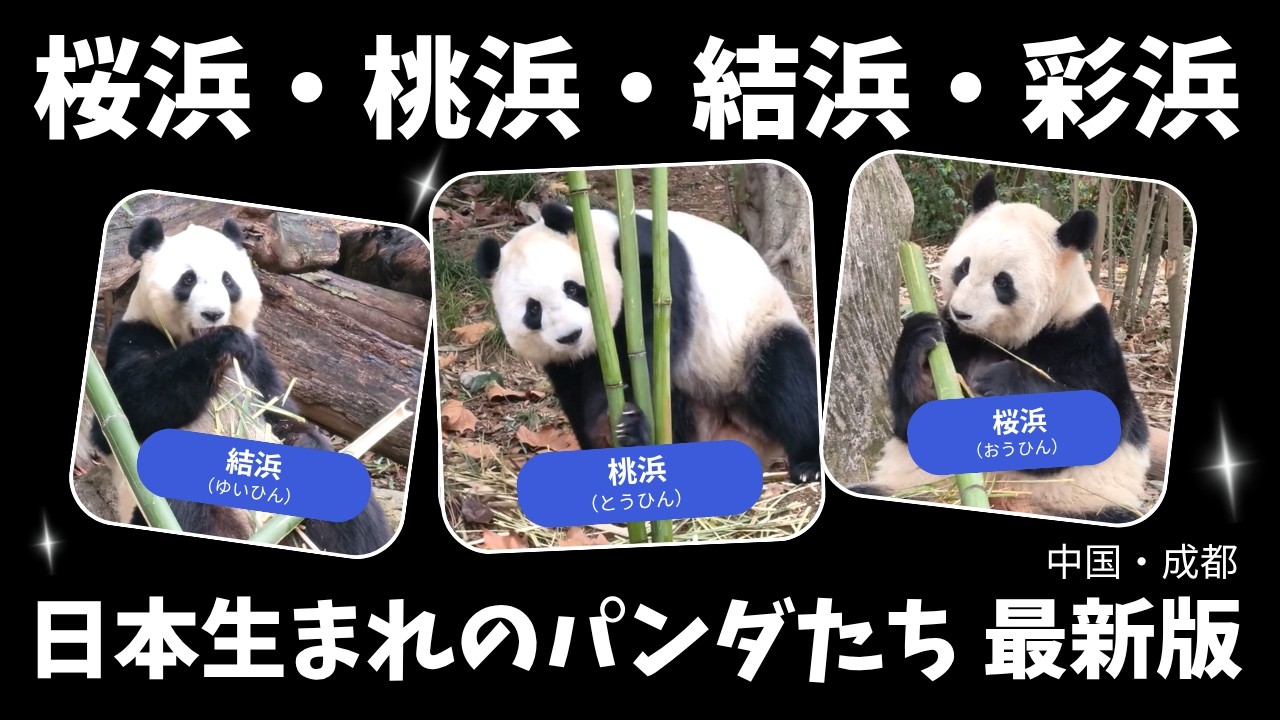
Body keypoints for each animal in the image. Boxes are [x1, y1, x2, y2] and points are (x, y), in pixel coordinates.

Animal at [88, 216, 393, 554]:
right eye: (187, 279)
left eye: (228, 281)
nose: (213, 314)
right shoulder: (133, 337)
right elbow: (133, 406)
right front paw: (222, 343)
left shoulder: (258, 364)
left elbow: (283, 414)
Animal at [474, 201, 821, 485]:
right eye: (533, 310)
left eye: (572, 289)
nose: (570, 335)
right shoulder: (564, 360)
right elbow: (574, 392)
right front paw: (599, 441)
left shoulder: (652, 274)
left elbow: (645, 351)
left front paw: (621, 425)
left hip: (752, 336)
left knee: (786, 374)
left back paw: (808, 464)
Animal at [848, 170, 1152, 523]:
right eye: (963, 267)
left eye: (1002, 282)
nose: (962, 313)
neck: (1002, 339)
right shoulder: (957, 339)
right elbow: (912, 421)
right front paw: (922, 341)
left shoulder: (1084, 339)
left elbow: (1095, 417)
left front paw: (999, 380)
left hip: (1082, 501)